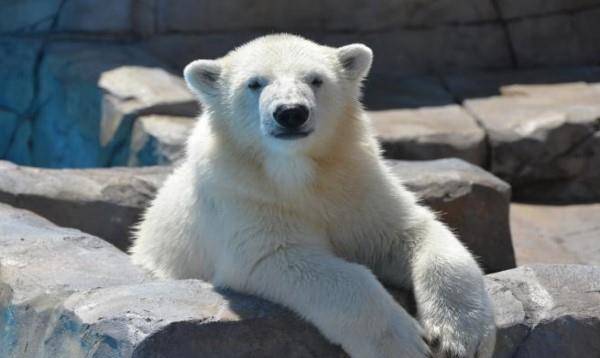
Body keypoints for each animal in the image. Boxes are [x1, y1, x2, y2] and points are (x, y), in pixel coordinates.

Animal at [132, 34, 496, 358]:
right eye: (255, 83)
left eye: (316, 79)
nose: (291, 112)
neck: (298, 174)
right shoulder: (241, 196)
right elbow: (282, 257)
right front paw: (403, 343)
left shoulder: (358, 183)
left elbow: (411, 232)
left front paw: (463, 335)